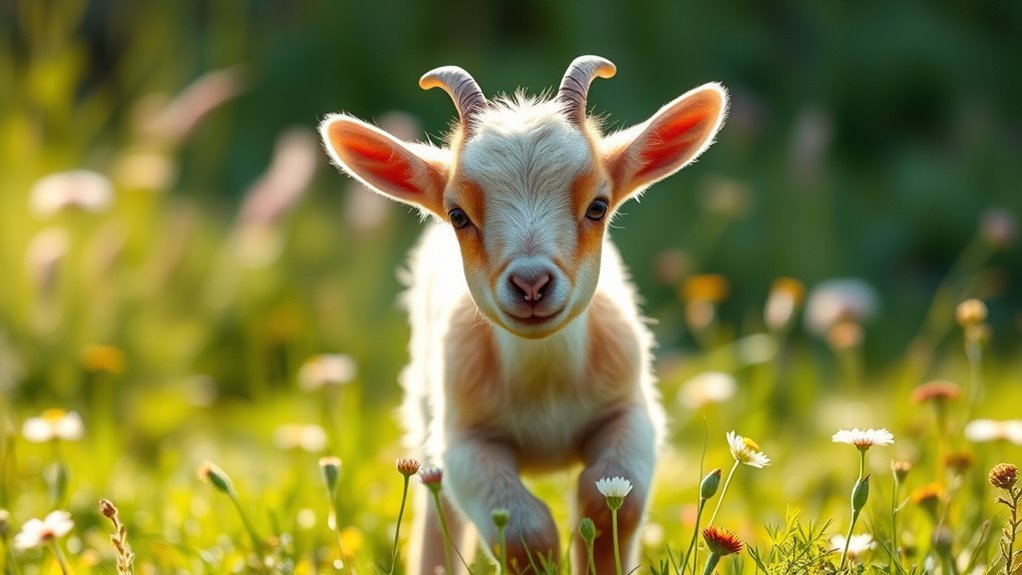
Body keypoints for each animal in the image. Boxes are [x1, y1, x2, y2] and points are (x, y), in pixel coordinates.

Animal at [320, 56, 727, 574]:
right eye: (458, 215)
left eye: (598, 206)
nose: (531, 283)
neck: (544, 384)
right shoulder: (465, 440)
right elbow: (523, 530)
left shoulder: (631, 412)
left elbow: (611, 502)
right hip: (424, 404)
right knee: (436, 502)